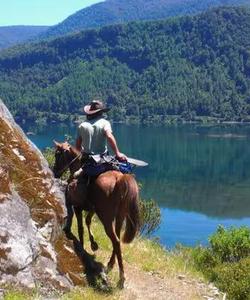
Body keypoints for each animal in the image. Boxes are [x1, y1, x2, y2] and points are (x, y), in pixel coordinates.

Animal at [52, 142, 141, 288]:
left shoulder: (77, 207)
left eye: (57, 154)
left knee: (116, 240)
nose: (55, 172)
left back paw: (121, 278)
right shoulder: (92, 209)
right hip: (118, 217)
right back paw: (110, 264)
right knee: (117, 238)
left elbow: (80, 227)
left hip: (106, 218)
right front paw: (93, 244)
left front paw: (82, 247)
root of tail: (119, 178)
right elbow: (88, 221)